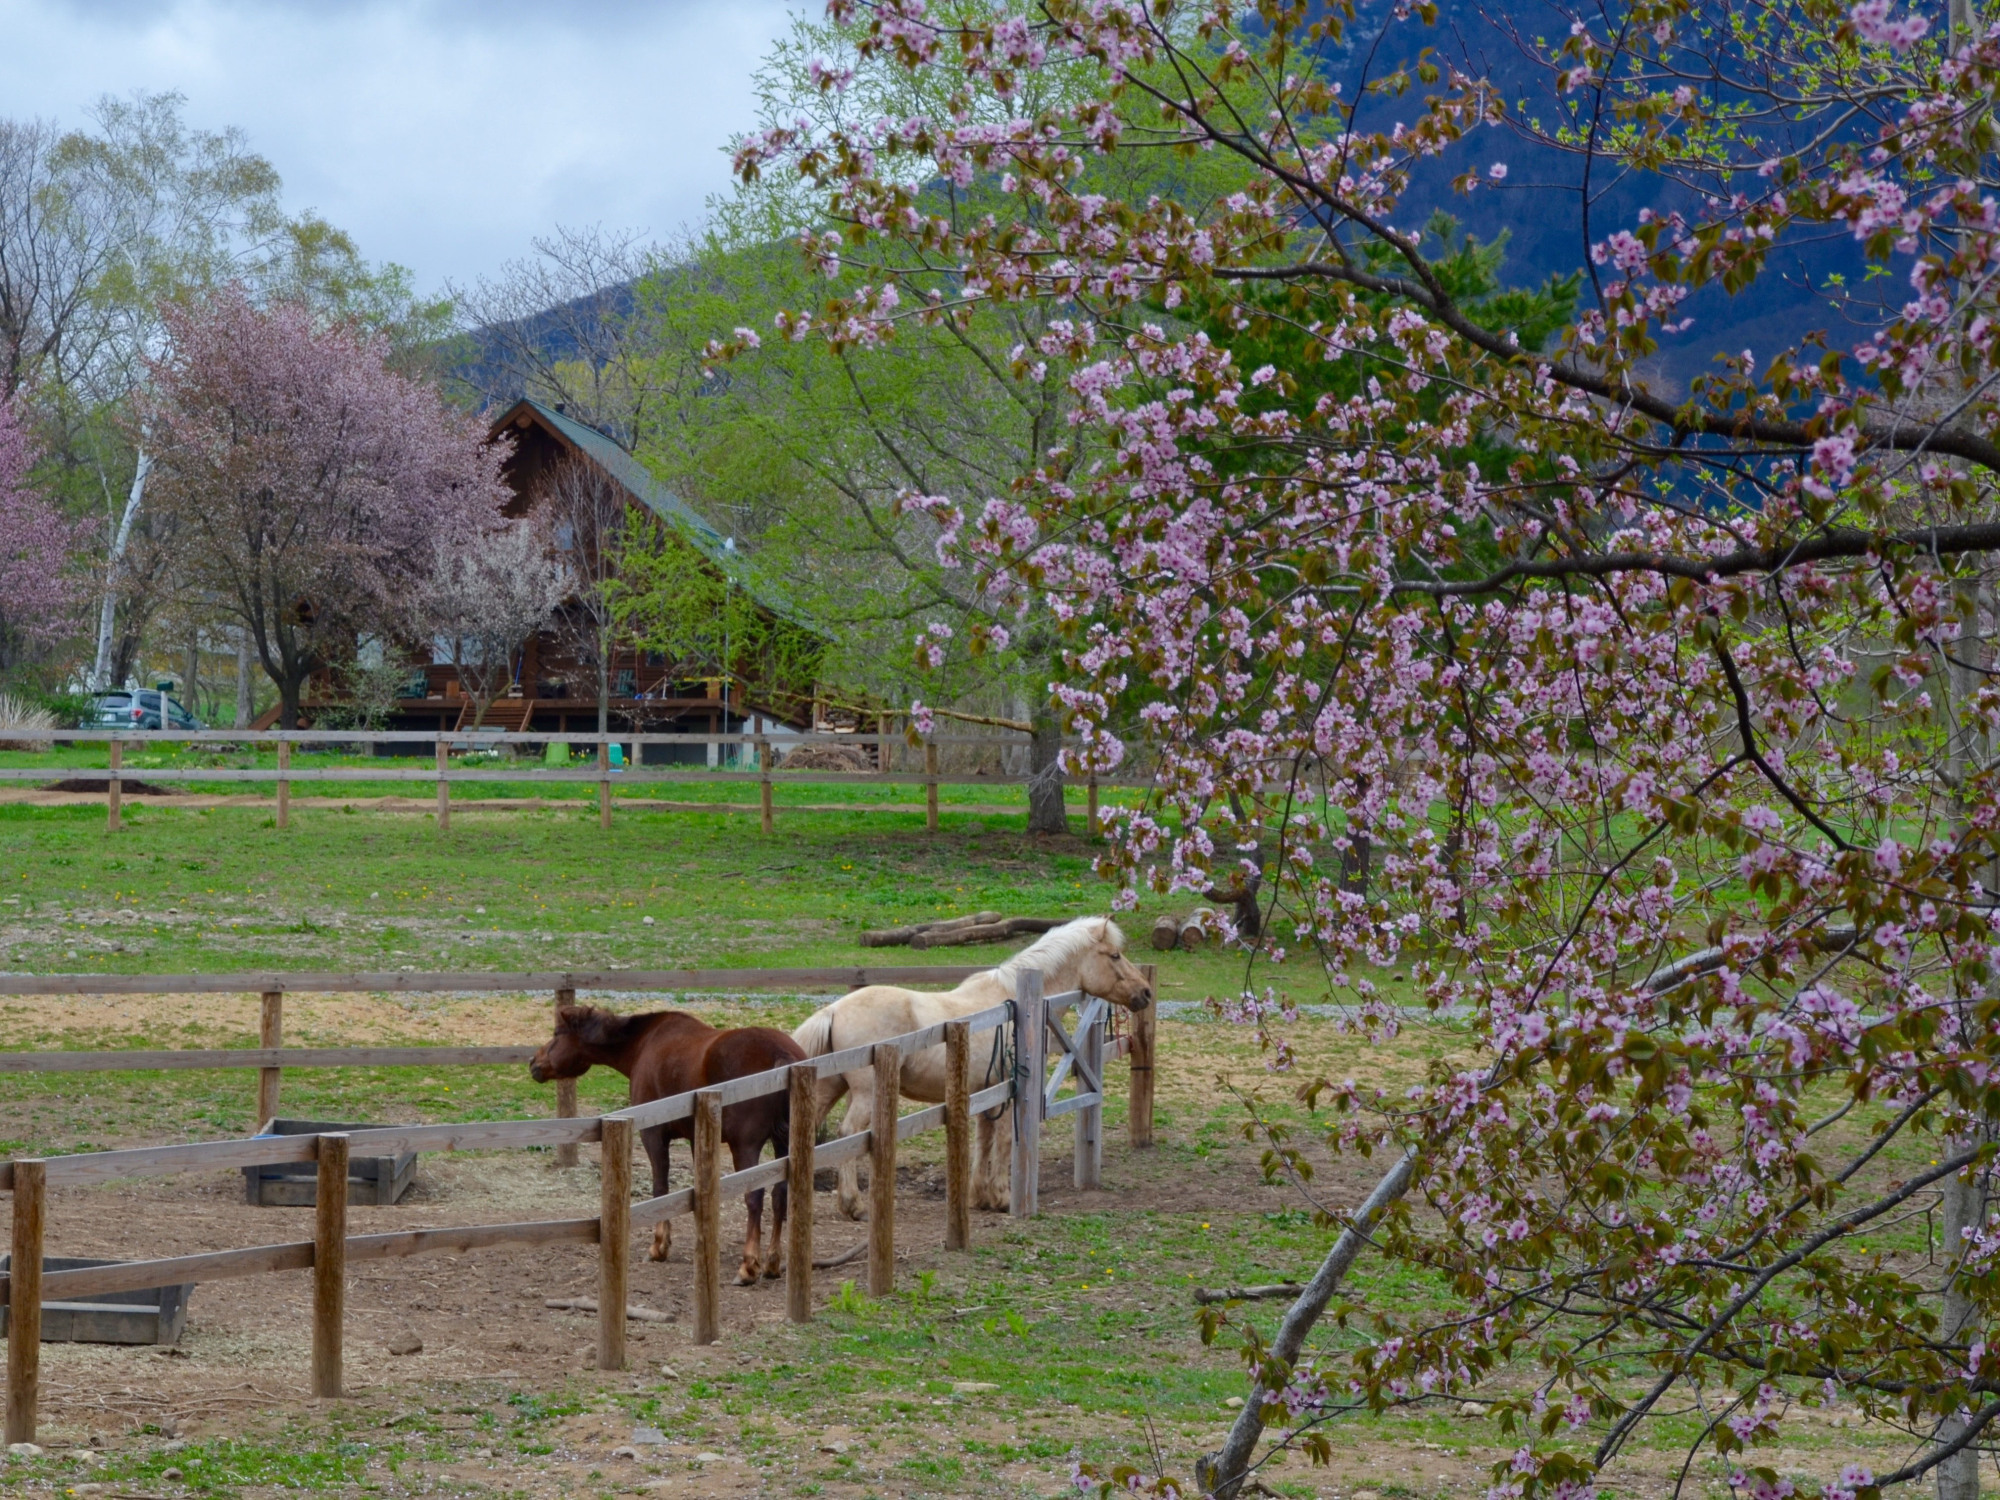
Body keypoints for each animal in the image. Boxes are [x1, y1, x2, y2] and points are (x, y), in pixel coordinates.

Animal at [540, 1004, 812, 1288]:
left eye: (556, 1034)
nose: (534, 1063)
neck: (644, 1044)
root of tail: (781, 1055)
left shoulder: (653, 1134)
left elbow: (660, 1188)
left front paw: (659, 1246)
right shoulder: (696, 1137)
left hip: (745, 1147)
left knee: (755, 1197)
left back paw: (748, 1266)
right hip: (783, 1144)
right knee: (780, 1195)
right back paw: (772, 1262)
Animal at [788, 916, 1152, 1224]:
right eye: (1115, 955)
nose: (1146, 992)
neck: (1014, 1005)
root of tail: (834, 1010)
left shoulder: (985, 1093)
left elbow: (983, 1140)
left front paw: (980, 1196)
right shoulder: (1009, 1090)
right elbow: (1002, 1141)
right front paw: (1002, 1197)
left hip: (830, 1089)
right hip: (864, 1095)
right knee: (848, 1135)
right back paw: (855, 1205)